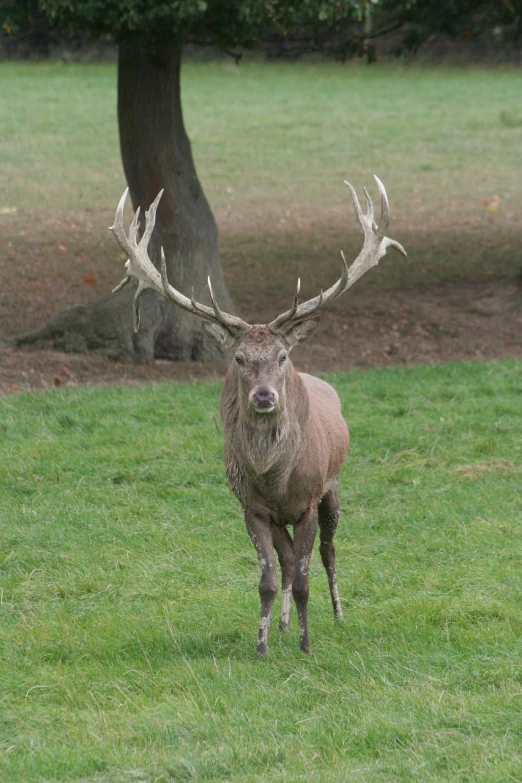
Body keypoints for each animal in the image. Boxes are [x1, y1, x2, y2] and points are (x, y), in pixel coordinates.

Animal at [108, 179, 402, 656]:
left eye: (282, 356)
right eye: (240, 358)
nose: (265, 396)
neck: (274, 479)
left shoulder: (307, 500)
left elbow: (304, 579)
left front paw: (306, 645)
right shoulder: (252, 507)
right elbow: (269, 576)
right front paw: (263, 643)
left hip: (334, 486)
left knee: (328, 551)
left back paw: (337, 613)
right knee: (287, 559)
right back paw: (282, 625)